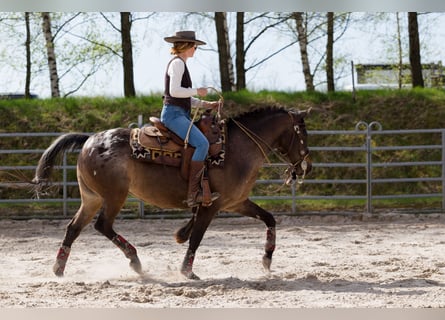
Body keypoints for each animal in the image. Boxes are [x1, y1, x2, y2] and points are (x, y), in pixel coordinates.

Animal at [33, 106, 310, 278]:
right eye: (303, 134)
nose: (305, 166)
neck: (237, 149)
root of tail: (90, 139)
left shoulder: (235, 202)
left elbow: (270, 219)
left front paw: (267, 259)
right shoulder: (212, 206)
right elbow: (197, 237)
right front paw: (187, 271)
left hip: (91, 198)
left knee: (73, 228)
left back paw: (59, 269)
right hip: (114, 197)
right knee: (103, 225)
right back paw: (135, 261)